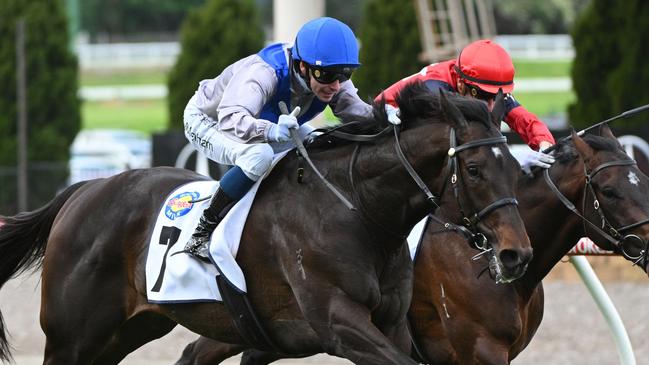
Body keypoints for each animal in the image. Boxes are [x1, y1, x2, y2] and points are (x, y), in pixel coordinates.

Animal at [0, 84, 528, 362]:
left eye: (517, 169)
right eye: (474, 170)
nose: (515, 253)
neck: (356, 209)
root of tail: (83, 191)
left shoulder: (389, 323)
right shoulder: (338, 323)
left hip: (127, 330)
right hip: (72, 336)